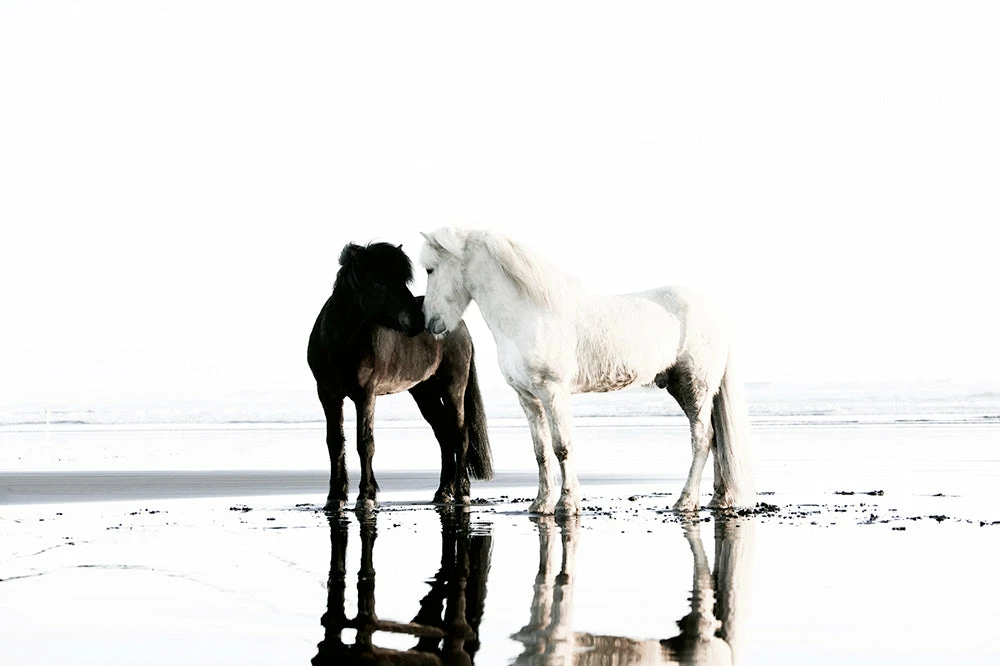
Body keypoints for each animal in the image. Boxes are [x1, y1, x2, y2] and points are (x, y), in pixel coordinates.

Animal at [307, 241, 493, 511]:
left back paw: (462, 493)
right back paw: (442, 492)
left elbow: (365, 443)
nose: (419, 319)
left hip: (453, 387)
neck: (339, 344)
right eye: (379, 280)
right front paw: (335, 497)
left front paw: (366, 496)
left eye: (403, 280)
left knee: (460, 436)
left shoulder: (366, 394)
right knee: (444, 435)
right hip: (424, 392)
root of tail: (459, 326)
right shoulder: (328, 394)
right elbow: (335, 442)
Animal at [418, 227, 754, 515]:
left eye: (430, 269)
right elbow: (541, 451)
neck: (531, 313)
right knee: (716, 439)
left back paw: (685, 501)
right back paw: (718, 499)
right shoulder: (528, 397)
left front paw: (566, 504)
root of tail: (717, 312)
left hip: (695, 386)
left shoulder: (553, 391)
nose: (429, 322)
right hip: (685, 388)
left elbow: (562, 447)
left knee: (702, 439)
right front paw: (540, 504)